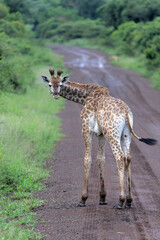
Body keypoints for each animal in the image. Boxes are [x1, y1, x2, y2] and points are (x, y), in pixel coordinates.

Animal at [42, 68, 157, 209]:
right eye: (50, 84)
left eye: (60, 84)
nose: (55, 94)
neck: (86, 96)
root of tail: (125, 112)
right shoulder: (101, 134)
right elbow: (100, 159)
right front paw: (102, 197)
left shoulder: (86, 129)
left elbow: (87, 160)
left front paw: (83, 199)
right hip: (126, 135)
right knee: (128, 157)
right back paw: (129, 200)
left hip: (112, 134)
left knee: (120, 157)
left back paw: (121, 200)